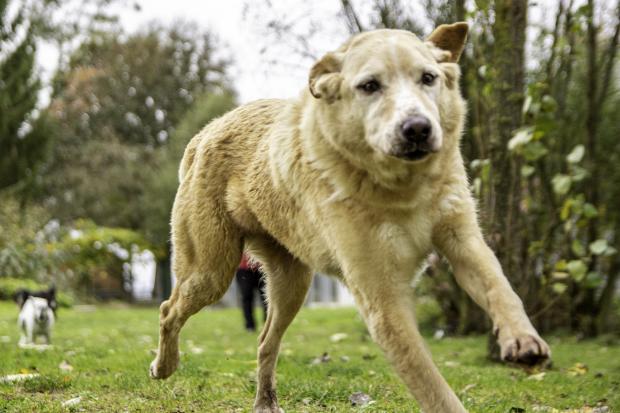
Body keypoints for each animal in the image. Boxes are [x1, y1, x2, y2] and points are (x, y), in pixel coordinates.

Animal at [150, 23, 548, 412]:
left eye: (428, 78)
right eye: (369, 86)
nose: (418, 128)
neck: (402, 191)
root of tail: (206, 131)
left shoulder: (462, 240)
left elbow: (501, 288)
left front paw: (522, 339)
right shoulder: (382, 300)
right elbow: (434, 389)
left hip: (292, 284)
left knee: (265, 341)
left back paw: (266, 402)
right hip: (211, 271)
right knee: (169, 309)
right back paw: (164, 366)